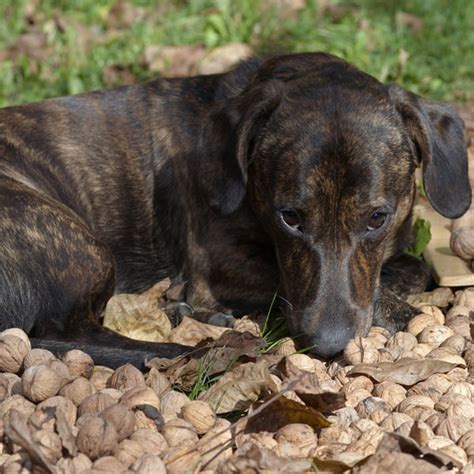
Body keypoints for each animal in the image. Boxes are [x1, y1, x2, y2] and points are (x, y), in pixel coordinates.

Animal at [0, 53, 470, 368]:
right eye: (290, 217)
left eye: (377, 219)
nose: (327, 346)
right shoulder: (222, 266)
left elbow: (410, 271)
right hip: (81, 246)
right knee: (73, 332)